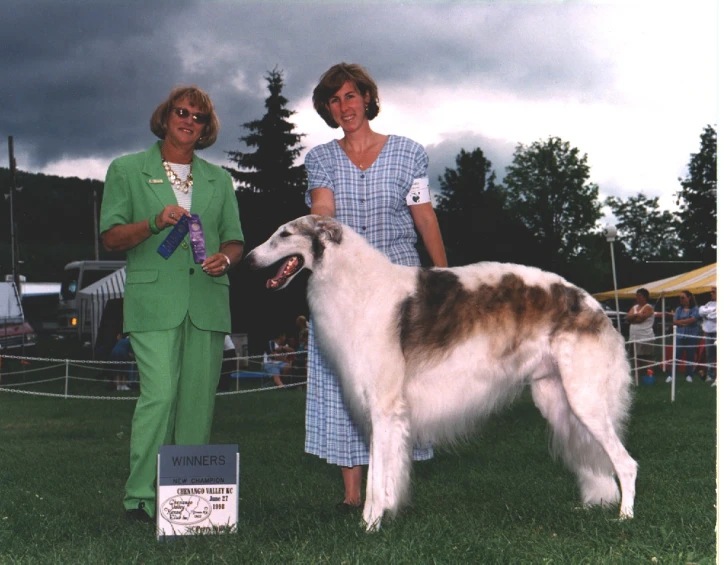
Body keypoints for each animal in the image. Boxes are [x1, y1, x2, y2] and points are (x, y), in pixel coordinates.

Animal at [246, 214, 636, 532]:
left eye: (284, 234)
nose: (248, 260)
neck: (355, 282)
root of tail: (594, 306)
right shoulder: (388, 413)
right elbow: (386, 474)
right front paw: (383, 516)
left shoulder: (384, 407)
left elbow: (375, 477)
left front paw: (369, 524)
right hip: (556, 399)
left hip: (584, 398)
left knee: (627, 463)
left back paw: (625, 517)